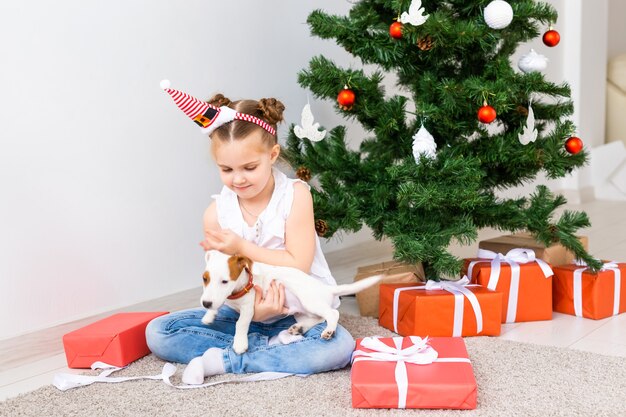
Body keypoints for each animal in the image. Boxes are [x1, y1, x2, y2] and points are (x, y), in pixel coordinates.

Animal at [200, 249, 380, 352]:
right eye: (205, 279)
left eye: (224, 281)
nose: (205, 304)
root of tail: (327, 289)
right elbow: (216, 304)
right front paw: (209, 315)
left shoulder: (248, 308)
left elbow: (240, 324)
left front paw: (239, 343)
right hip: (302, 312)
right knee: (319, 317)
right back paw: (299, 328)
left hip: (309, 300)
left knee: (332, 314)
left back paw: (329, 331)